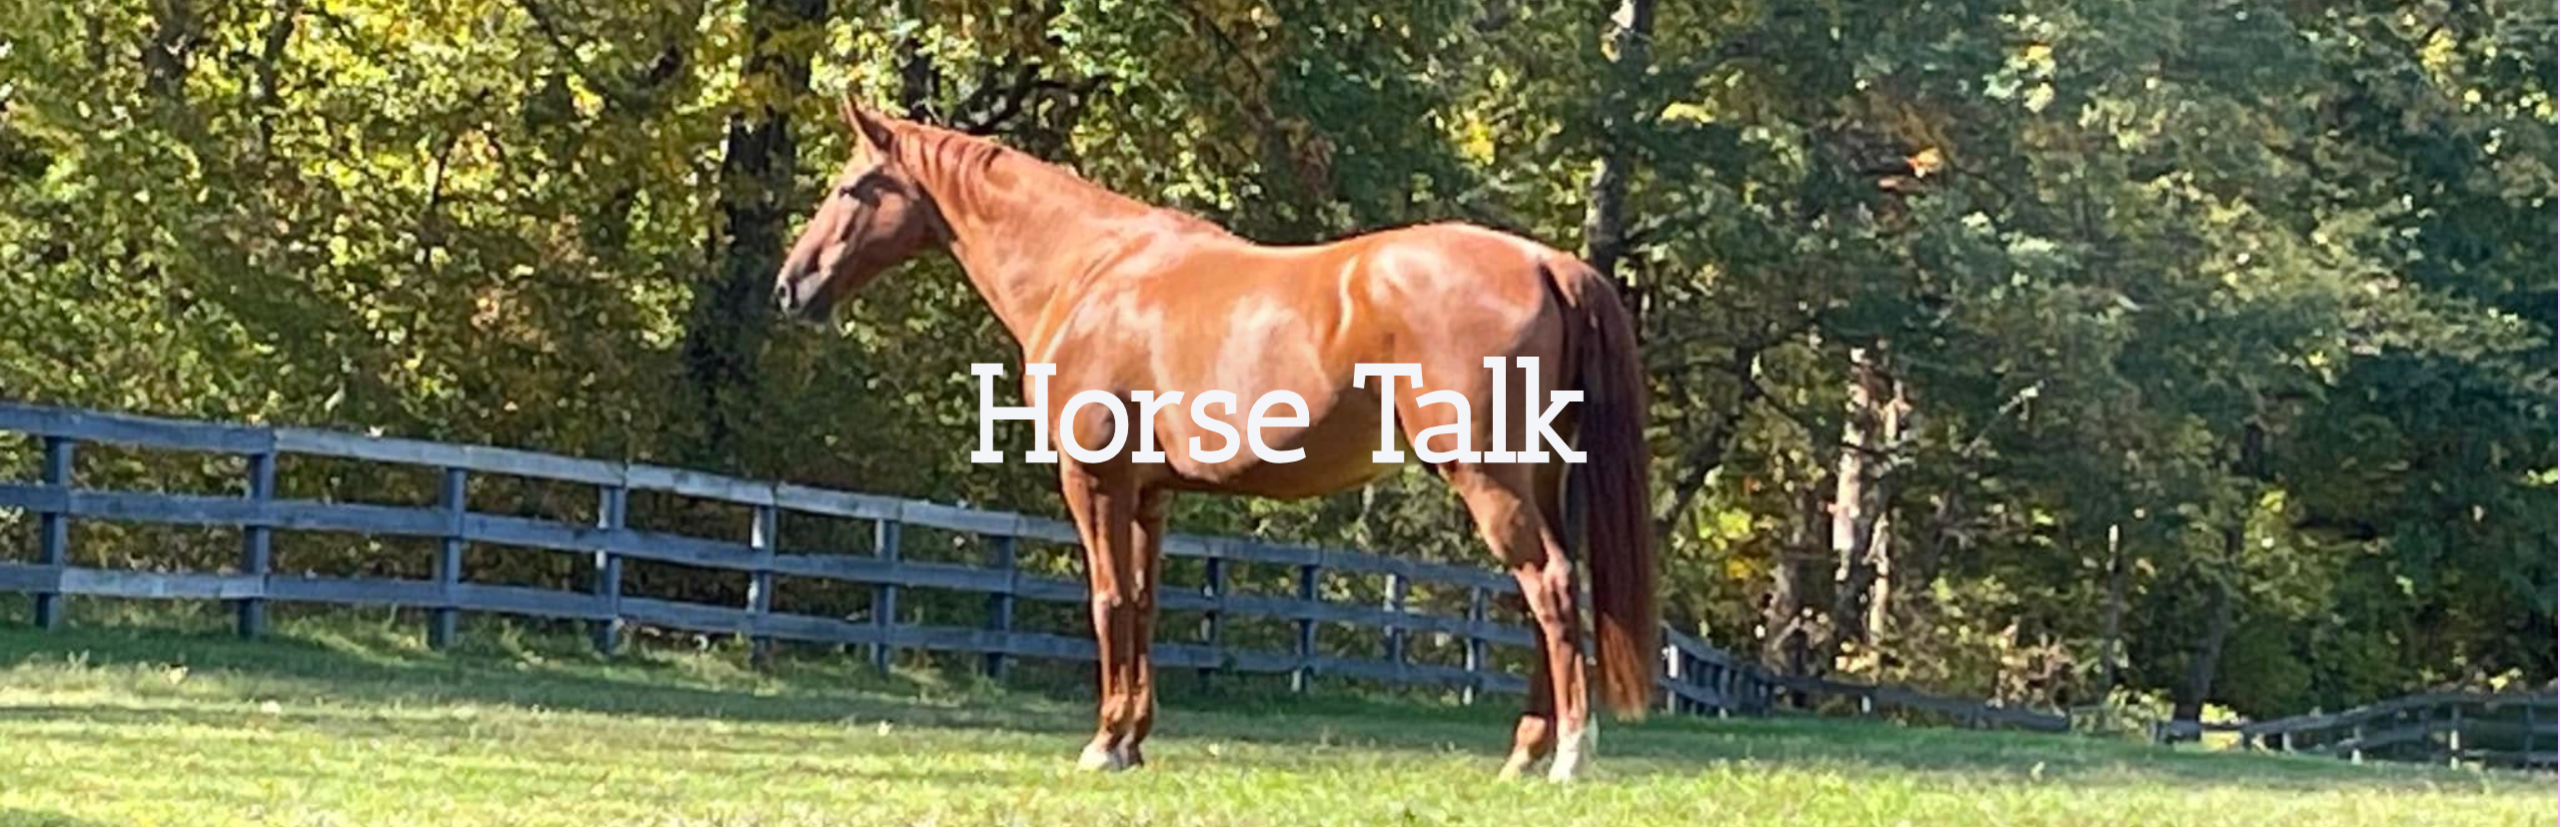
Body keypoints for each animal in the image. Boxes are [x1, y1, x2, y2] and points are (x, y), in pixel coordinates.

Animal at [773, 97, 1657, 782]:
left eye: (853, 186)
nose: (792, 285)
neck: (1091, 270)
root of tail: (1547, 262)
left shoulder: (1093, 480)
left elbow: (1107, 599)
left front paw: (1102, 742)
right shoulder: (1149, 495)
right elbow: (1143, 603)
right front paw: (1132, 740)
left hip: (1489, 476)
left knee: (1549, 586)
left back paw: (1568, 755)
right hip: (1535, 479)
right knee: (1550, 595)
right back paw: (1527, 753)